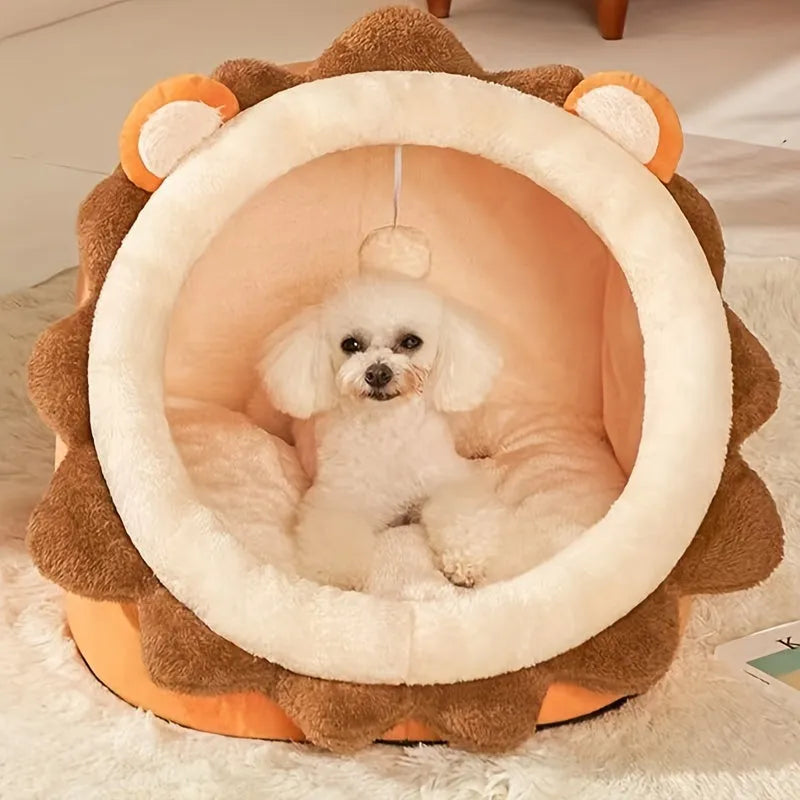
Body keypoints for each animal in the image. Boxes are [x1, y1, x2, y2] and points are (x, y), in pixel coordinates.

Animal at [256, 278, 506, 592]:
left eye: (411, 341)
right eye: (350, 344)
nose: (377, 373)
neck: (388, 429)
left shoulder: (449, 480)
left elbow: (463, 513)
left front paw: (466, 561)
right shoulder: (338, 497)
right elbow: (337, 534)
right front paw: (341, 575)